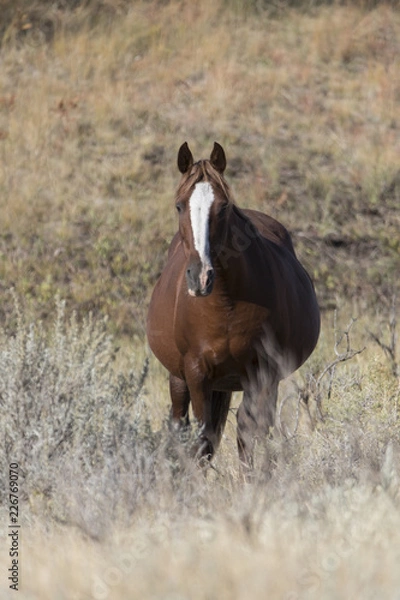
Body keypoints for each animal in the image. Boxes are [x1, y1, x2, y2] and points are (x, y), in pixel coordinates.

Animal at [146, 143, 318, 476]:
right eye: (179, 206)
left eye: (223, 207)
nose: (200, 276)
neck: (224, 304)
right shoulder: (196, 372)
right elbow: (201, 437)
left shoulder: (261, 371)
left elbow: (250, 433)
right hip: (179, 379)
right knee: (181, 426)